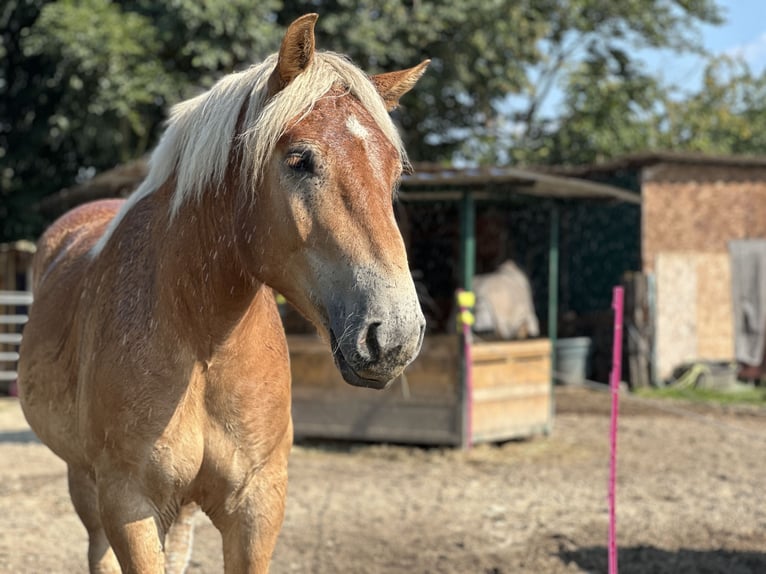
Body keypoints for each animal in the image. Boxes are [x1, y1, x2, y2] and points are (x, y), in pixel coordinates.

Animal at [18, 14, 428, 574]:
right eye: (299, 159)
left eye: (394, 170)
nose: (394, 336)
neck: (202, 340)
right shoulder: (127, 504)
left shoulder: (258, 504)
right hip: (86, 484)